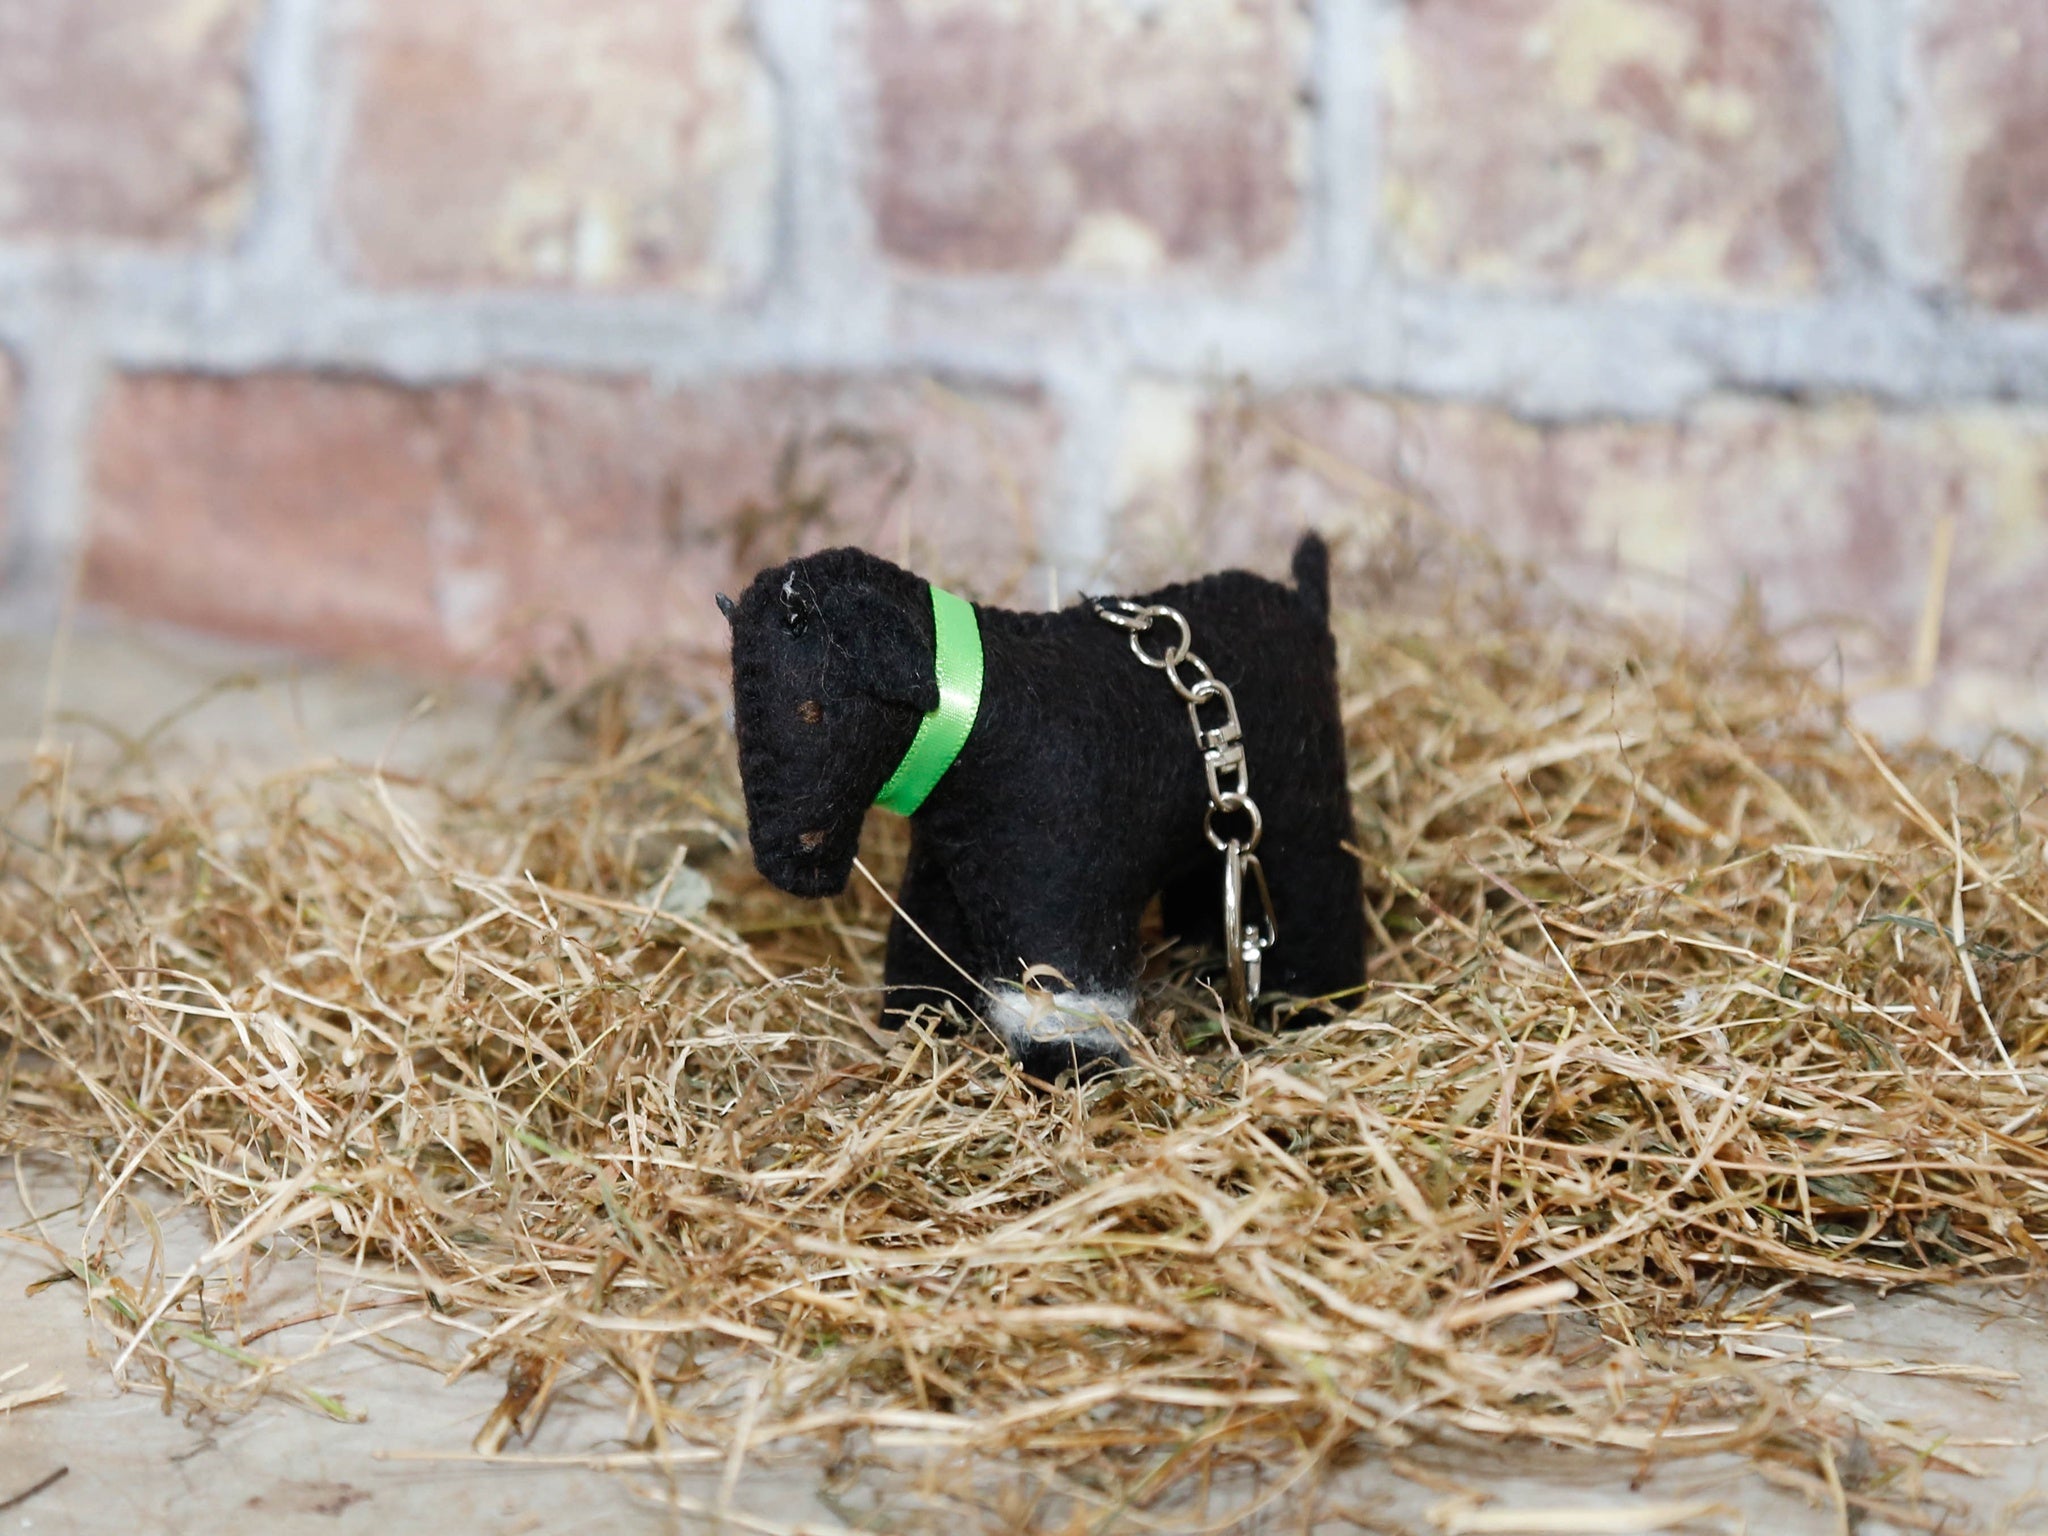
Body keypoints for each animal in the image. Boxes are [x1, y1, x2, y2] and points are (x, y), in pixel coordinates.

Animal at [720, 536, 1359, 1081]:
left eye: (814, 711)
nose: (791, 866)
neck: (980, 723)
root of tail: (1303, 600)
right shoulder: (944, 876)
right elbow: (923, 965)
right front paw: (919, 1035)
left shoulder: (1062, 894)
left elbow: (1062, 1008)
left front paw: (1069, 1078)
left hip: (1301, 811)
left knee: (1319, 899)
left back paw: (1315, 1002)